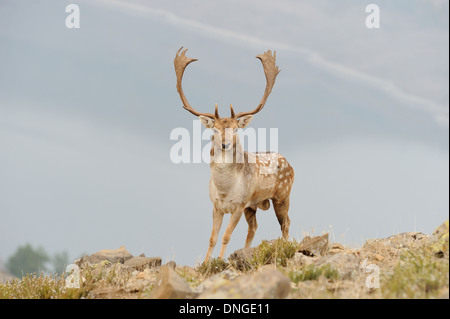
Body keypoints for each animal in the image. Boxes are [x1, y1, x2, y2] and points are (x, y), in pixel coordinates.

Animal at [174, 47, 294, 262]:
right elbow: (212, 238)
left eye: (236, 129)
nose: (225, 144)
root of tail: (290, 165)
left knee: (286, 223)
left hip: (282, 195)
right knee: (254, 227)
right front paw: (206, 263)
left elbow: (226, 237)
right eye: (214, 130)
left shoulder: (238, 205)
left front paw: (219, 261)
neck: (224, 190)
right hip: (252, 207)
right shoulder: (216, 206)